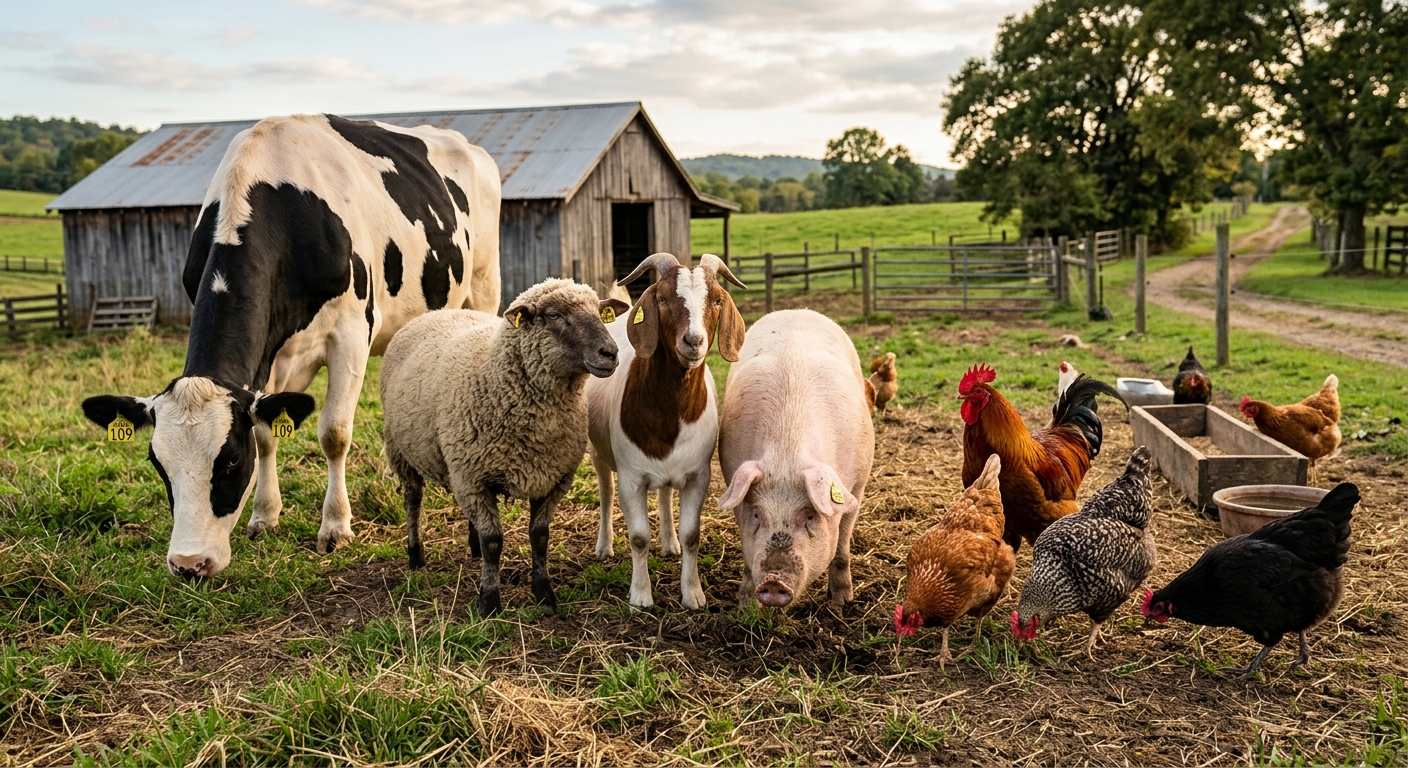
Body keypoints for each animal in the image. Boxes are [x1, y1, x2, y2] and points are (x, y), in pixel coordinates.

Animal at [81, 114, 501, 579]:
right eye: (157, 463)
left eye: (230, 459)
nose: (189, 564)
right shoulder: (270, 358)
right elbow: (267, 433)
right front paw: (264, 516)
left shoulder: (351, 335)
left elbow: (334, 433)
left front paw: (335, 526)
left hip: (483, 286)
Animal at [380, 278, 628, 616]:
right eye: (553, 315)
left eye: (600, 313)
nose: (610, 353)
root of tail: (434, 313)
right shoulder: (474, 478)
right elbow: (493, 542)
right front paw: (489, 602)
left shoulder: (552, 478)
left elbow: (539, 537)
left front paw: (544, 594)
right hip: (402, 451)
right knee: (413, 500)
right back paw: (415, 555)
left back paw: (470, 548)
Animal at [586, 252, 747, 609]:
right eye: (661, 299)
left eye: (717, 300)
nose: (693, 341)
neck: (670, 412)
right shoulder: (631, 478)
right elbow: (638, 537)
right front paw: (641, 595)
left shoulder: (698, 476)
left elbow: (692, 535)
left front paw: (693, 593)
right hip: (598, 453)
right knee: (605, 492)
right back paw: (603, 547)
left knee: (663, 493)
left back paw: (669, 544)